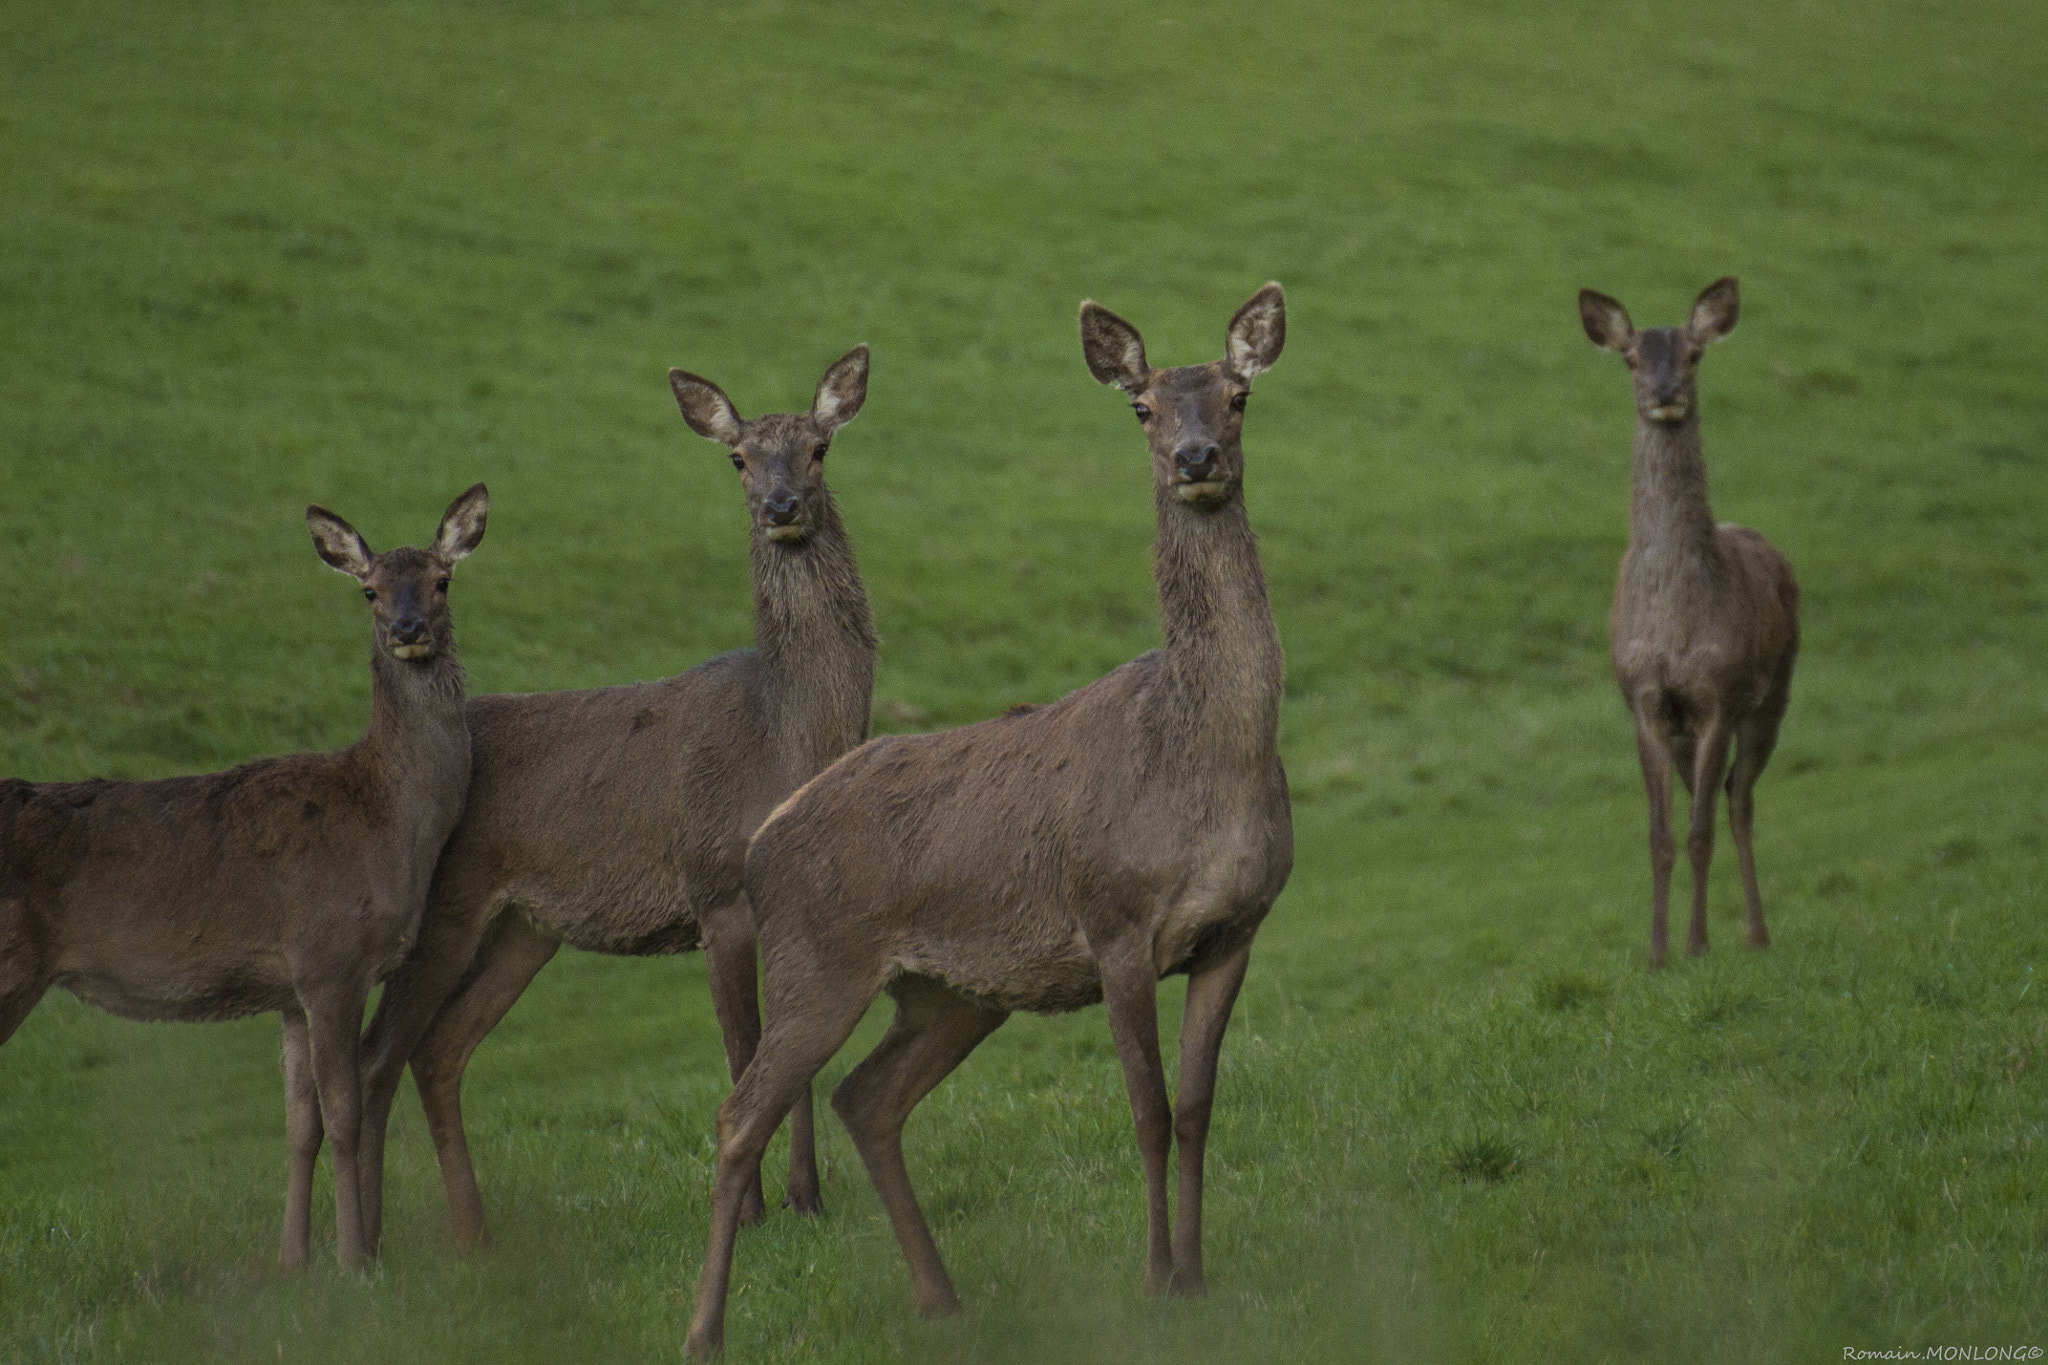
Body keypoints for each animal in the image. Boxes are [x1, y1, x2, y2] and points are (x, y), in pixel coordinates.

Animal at [0, 485, 491, 1268]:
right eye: (369, 589)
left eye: (442, 580)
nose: (408, 628)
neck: (389, 825)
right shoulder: (330, 957)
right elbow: (345, 1115)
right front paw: (356, 1261)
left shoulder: (287, 987)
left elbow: (300, 1126)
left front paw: (292, 1263)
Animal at [356, 347, 876, 1252]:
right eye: (738, 458)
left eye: (818, 448)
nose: (781, 505)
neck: (785, 734)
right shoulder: (716, 885)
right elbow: (743, 1052)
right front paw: (753, 1210)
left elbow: (795, 1055)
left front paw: (809, 1199)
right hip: (442, 903)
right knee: (379, 1052)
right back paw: (369, 1245)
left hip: (525, 927)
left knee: (440, 1047)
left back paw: (472, 1232)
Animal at [688, 286, 1294, 1358]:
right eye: (1142, 406)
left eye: (1237, 397)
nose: (1195, 459)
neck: (1205, 765)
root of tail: (767, 835)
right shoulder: (1115, 921)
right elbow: (1143, 1109)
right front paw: (1154, 1280)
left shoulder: (1235, 930)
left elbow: (1196, 1107)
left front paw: (1199, 1274)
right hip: (815, 960)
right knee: (737, 1114)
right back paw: (705, 1333)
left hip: (949, 992)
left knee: (865, 1096)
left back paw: (941, 1297)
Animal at [1572, 278, 1802, 965]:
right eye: (1630, 359)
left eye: (1695, 354)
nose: (1664, 391)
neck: (1675, 630)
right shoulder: (1646, 703)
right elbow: (1659, 835)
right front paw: (1655, 953)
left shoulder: (1718, 697)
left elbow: (1698, 831)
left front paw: (1697, 945)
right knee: (1725, 794)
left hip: (1774, 695)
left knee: (1739, 801)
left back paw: (1756, 934)